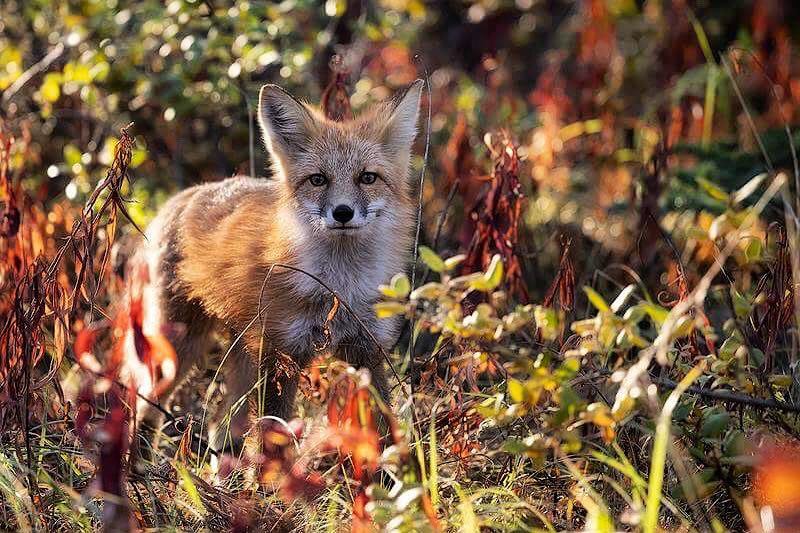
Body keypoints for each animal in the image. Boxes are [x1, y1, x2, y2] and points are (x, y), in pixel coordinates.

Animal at [135, 80, 424, 454]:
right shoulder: (280, 353)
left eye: (367, 178)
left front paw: (400, 471)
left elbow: (385, 429)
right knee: (145, 406)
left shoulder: (366, 350)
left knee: (220, 424)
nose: (343, 212)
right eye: (318, 180)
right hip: (180, 346)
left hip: (241, 352)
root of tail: (184, 194)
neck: (337, 289)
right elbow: (273, 436)